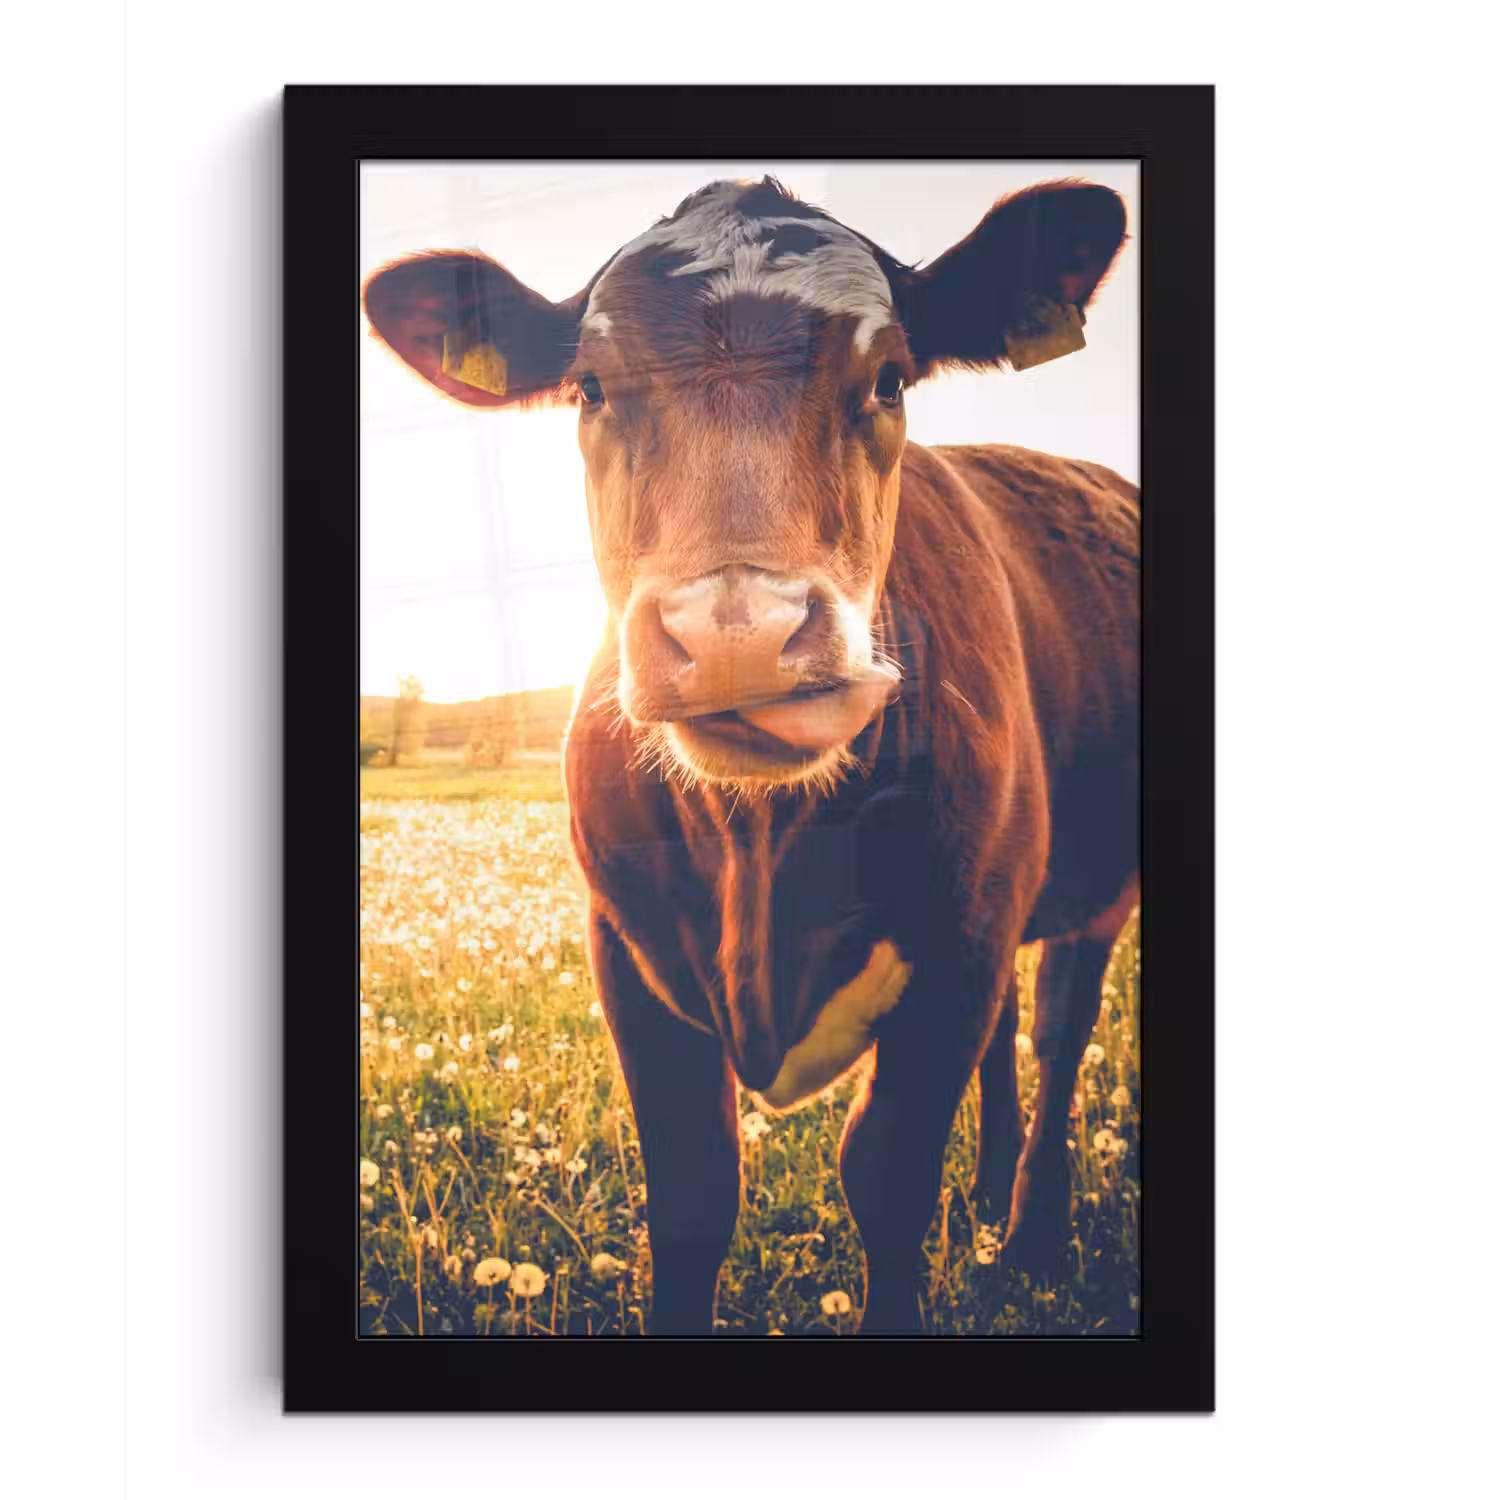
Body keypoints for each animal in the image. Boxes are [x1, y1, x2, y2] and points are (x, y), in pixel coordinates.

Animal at [362, 176, 1139, 1335]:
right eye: (590, 387)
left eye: (891, 375)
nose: (737, 636)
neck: (763, 845)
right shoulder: (624, 947)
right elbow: (693, 1194)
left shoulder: (958, 944)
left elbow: (887, 1179)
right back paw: (991, 1196)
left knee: (1057, 1028)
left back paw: (1032, 1232)